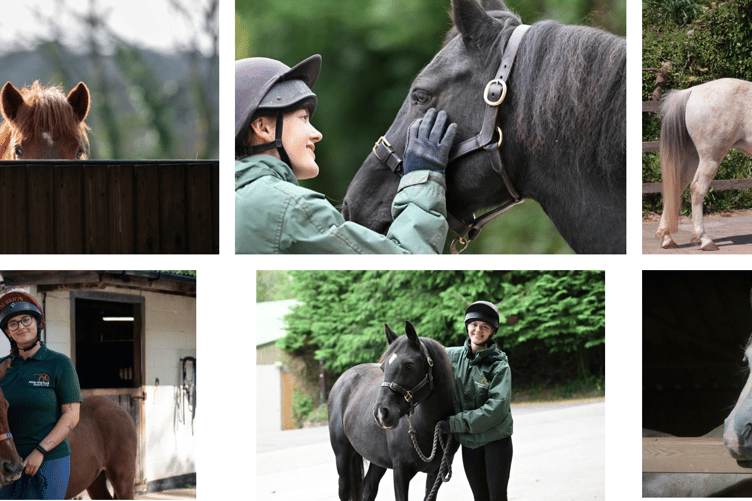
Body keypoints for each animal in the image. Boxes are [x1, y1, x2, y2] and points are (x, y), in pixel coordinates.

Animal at [328, 322, 456, 501]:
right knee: (345, 490)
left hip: (377, 461)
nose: (381, 413)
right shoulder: (400, 471)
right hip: (342, 457)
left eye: (409, 365)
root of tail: (343, 377)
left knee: (368, 488)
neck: (429, 427)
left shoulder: (437, 472)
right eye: (383, 367)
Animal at [656, 78, 752, 251]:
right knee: (697, 189)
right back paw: (705, 239)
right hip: (710, 158)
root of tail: (692, 91)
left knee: (677, 188)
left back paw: (667, 238)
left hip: (692, 159)